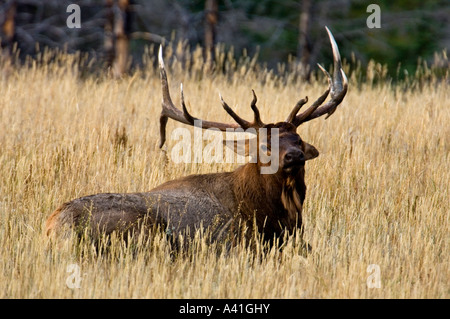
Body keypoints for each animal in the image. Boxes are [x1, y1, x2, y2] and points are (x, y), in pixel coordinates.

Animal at [45, 27, 348, 251]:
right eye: (265, 145)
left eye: (298, 140)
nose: (294, 156)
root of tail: (55, 226)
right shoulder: (233, 244)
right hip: (144, 228)